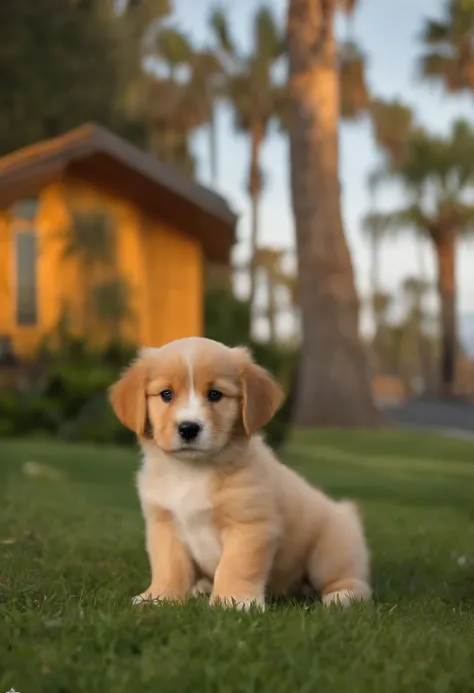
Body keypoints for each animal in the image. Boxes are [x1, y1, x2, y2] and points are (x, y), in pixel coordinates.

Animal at [109, 336, 372, 612]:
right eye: (166, 394)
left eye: (215, 394)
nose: (189, 428)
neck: (192, 471)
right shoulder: (165, 525)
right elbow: (169, 567)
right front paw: (159, 598)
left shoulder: (250, 526)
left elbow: (236, 567)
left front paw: (232, 602)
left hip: (329, 553)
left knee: (354, 584)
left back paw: (341, 597)